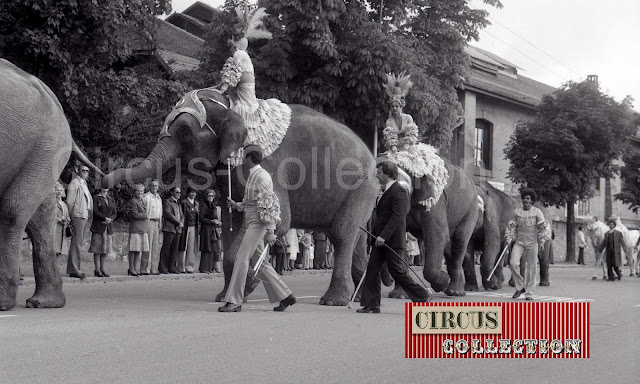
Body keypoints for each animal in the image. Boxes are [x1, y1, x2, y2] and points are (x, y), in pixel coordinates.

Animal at [0, 58, 102, 310]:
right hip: (44, 150)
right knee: (41, 214)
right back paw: (45, 302)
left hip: (46, 147)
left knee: (13, 211)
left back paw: (13, 302)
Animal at [102, 88, 378, 306]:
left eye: (185, 131)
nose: (102, 180)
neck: (234, 107)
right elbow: (231, 220)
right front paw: (226, 295)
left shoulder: (268, 166)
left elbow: (277, 220)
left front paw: (244, 289)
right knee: (355, 238)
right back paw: (361, 298)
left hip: (361, 189)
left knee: (342, 235)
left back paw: (334, 301)